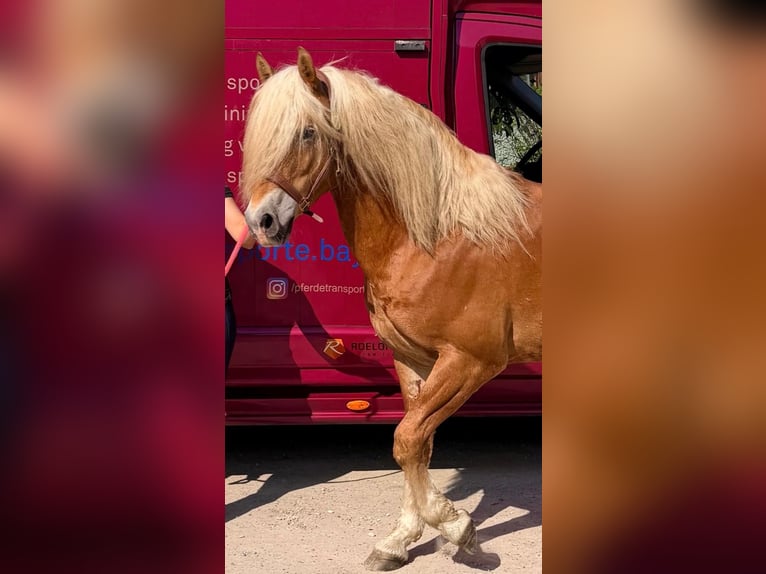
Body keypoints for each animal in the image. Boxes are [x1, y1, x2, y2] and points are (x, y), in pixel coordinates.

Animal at [240, 47, 542, 571]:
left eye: (308, 133)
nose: (262, 222)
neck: (437, 236)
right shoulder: (413, 360)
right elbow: (415, 446)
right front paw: (401, 539)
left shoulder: (469, 361)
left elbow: (407, 439)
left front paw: (458, 529)